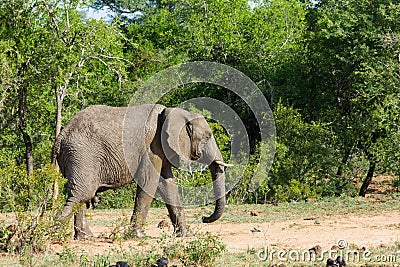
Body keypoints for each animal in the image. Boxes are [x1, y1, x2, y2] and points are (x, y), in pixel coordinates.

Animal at [52, 103, 231, 240]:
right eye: (208, 137)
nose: (204, 218)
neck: (171, 112)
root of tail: (60, 138)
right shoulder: (151, 146)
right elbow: (149, 182)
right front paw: (138, 236)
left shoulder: (160, 149)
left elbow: (167, 184)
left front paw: (185, 235)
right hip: (82, 154)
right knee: (82, 194)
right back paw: (53, 231)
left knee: (81, 195)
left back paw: (85, 237)